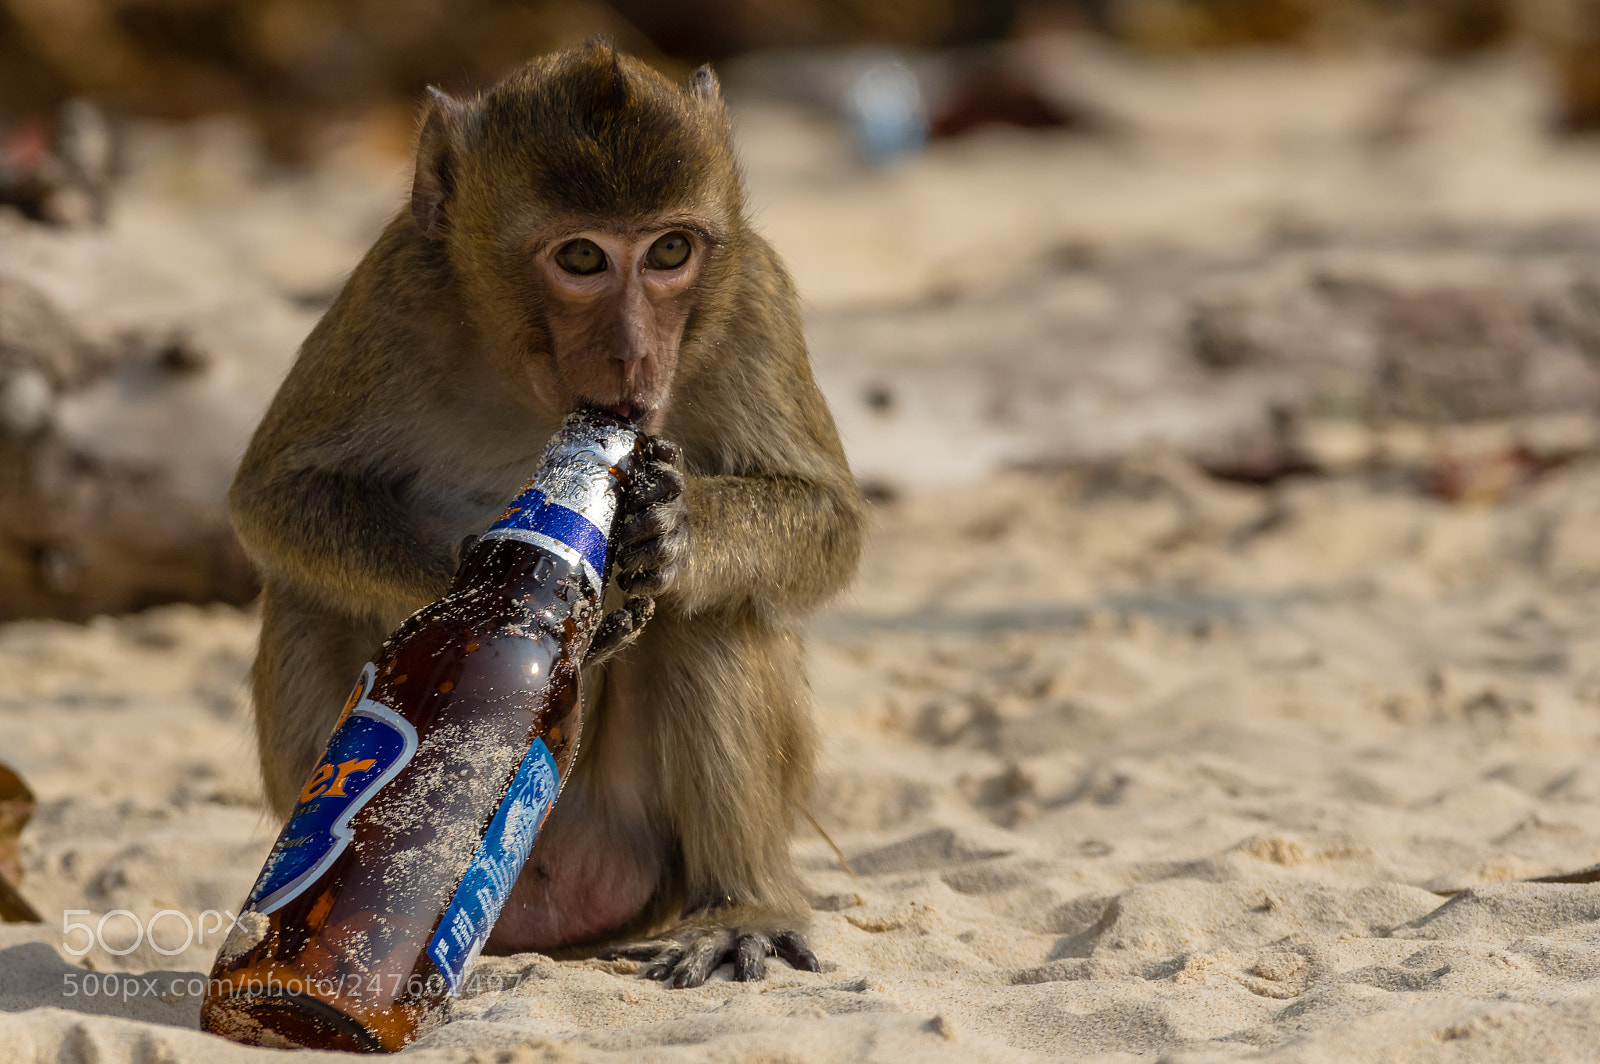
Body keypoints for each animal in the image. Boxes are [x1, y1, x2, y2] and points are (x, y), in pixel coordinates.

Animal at [227, 43, 866, 989]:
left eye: (670, 249)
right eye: (582, 257)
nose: (634, 352)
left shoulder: (754, 292)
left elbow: (828, 521)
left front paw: (669, 535)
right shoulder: (392, 288)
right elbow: (279, 494)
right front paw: (500, 594)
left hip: (633, 847)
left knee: (712, 613)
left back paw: (738, 907)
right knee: (306, 598)